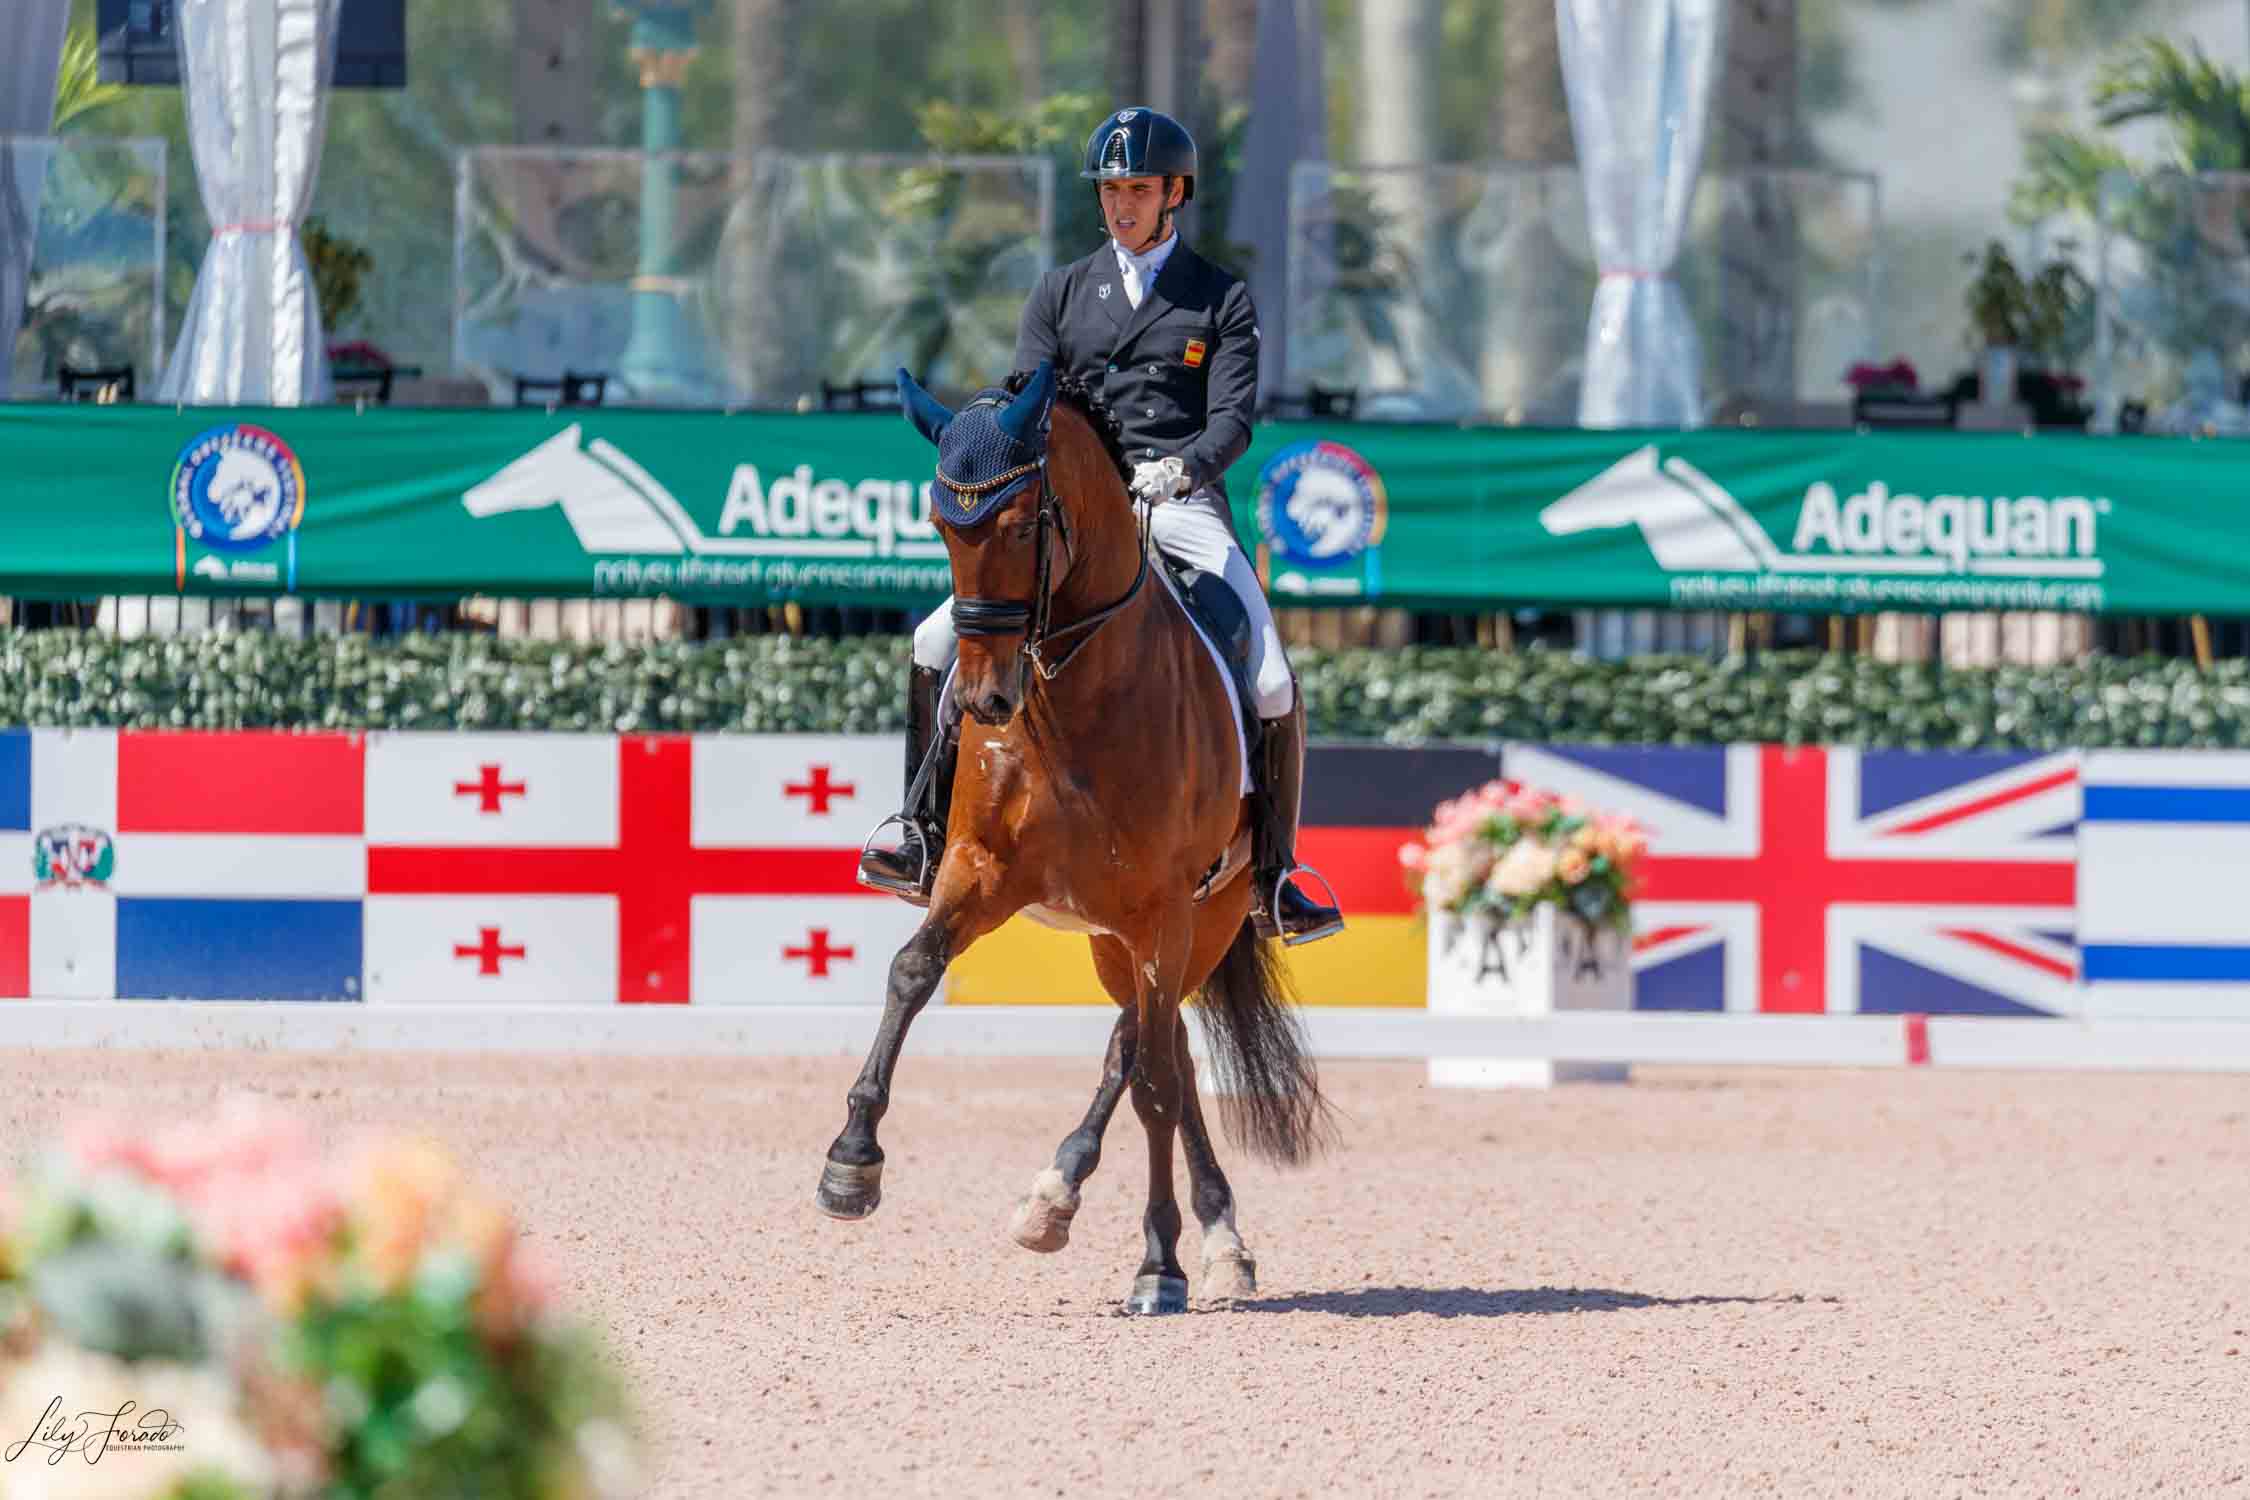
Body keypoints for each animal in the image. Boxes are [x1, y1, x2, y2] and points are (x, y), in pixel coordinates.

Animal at [814, 359, 1323, 1313]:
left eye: (1021, 524)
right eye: (940, 525)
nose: (986, 701)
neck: (1074, 695)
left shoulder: (1161, 909)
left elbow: (1152, 1081)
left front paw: (1158, 1267)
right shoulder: (978, 871)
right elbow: (912, 972)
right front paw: (851, 1164)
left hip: (1200, 920)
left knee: (1149, 1051)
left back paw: (1163, 1228)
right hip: (1114, 939)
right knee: (1157, 1043)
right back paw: (1134, 1217)